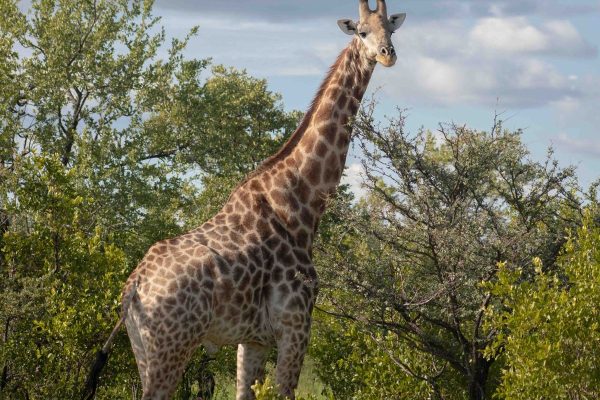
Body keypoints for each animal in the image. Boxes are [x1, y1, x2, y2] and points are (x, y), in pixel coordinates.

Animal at [82, 0, 406, 400]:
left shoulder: (253, 339)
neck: (301, 204)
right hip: (171, 348)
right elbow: (284, 391)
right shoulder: (296, 324)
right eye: (361, 31)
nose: (388, 54)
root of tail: (134, 288)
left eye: (390, 28)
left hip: (142, 349)